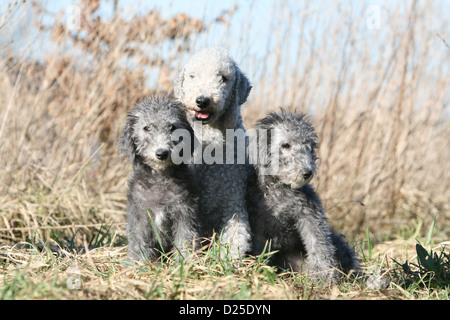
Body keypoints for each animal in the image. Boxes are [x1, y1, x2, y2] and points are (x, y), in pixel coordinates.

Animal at [118, 95, 198, 262]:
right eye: (146, 128)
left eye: (172, 127)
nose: (162, 153)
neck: (160, 178)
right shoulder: (140, 216)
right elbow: (139, 246)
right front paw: (141, 265)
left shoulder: (184, 213)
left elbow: (185, 240)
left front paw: (184, 263)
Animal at [246, 109, 358, 284]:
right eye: (286, 145)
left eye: (309, 145)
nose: (308, 172)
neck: (279, 189)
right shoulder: (259, 225)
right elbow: (259, 249)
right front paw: (260, 269)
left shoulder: (309, 213)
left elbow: (319, 243)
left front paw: (325, 274)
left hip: (338, 242)